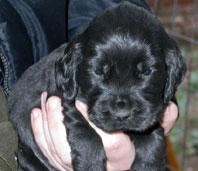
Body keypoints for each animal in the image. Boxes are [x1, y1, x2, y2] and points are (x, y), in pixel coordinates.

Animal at [8, 1, 186, 171]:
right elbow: (88, 137)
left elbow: (152, 136)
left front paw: (149, 165)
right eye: (98, 71)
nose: (122, 114)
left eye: (147, 71)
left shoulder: (155, 110)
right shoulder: (70, 103)